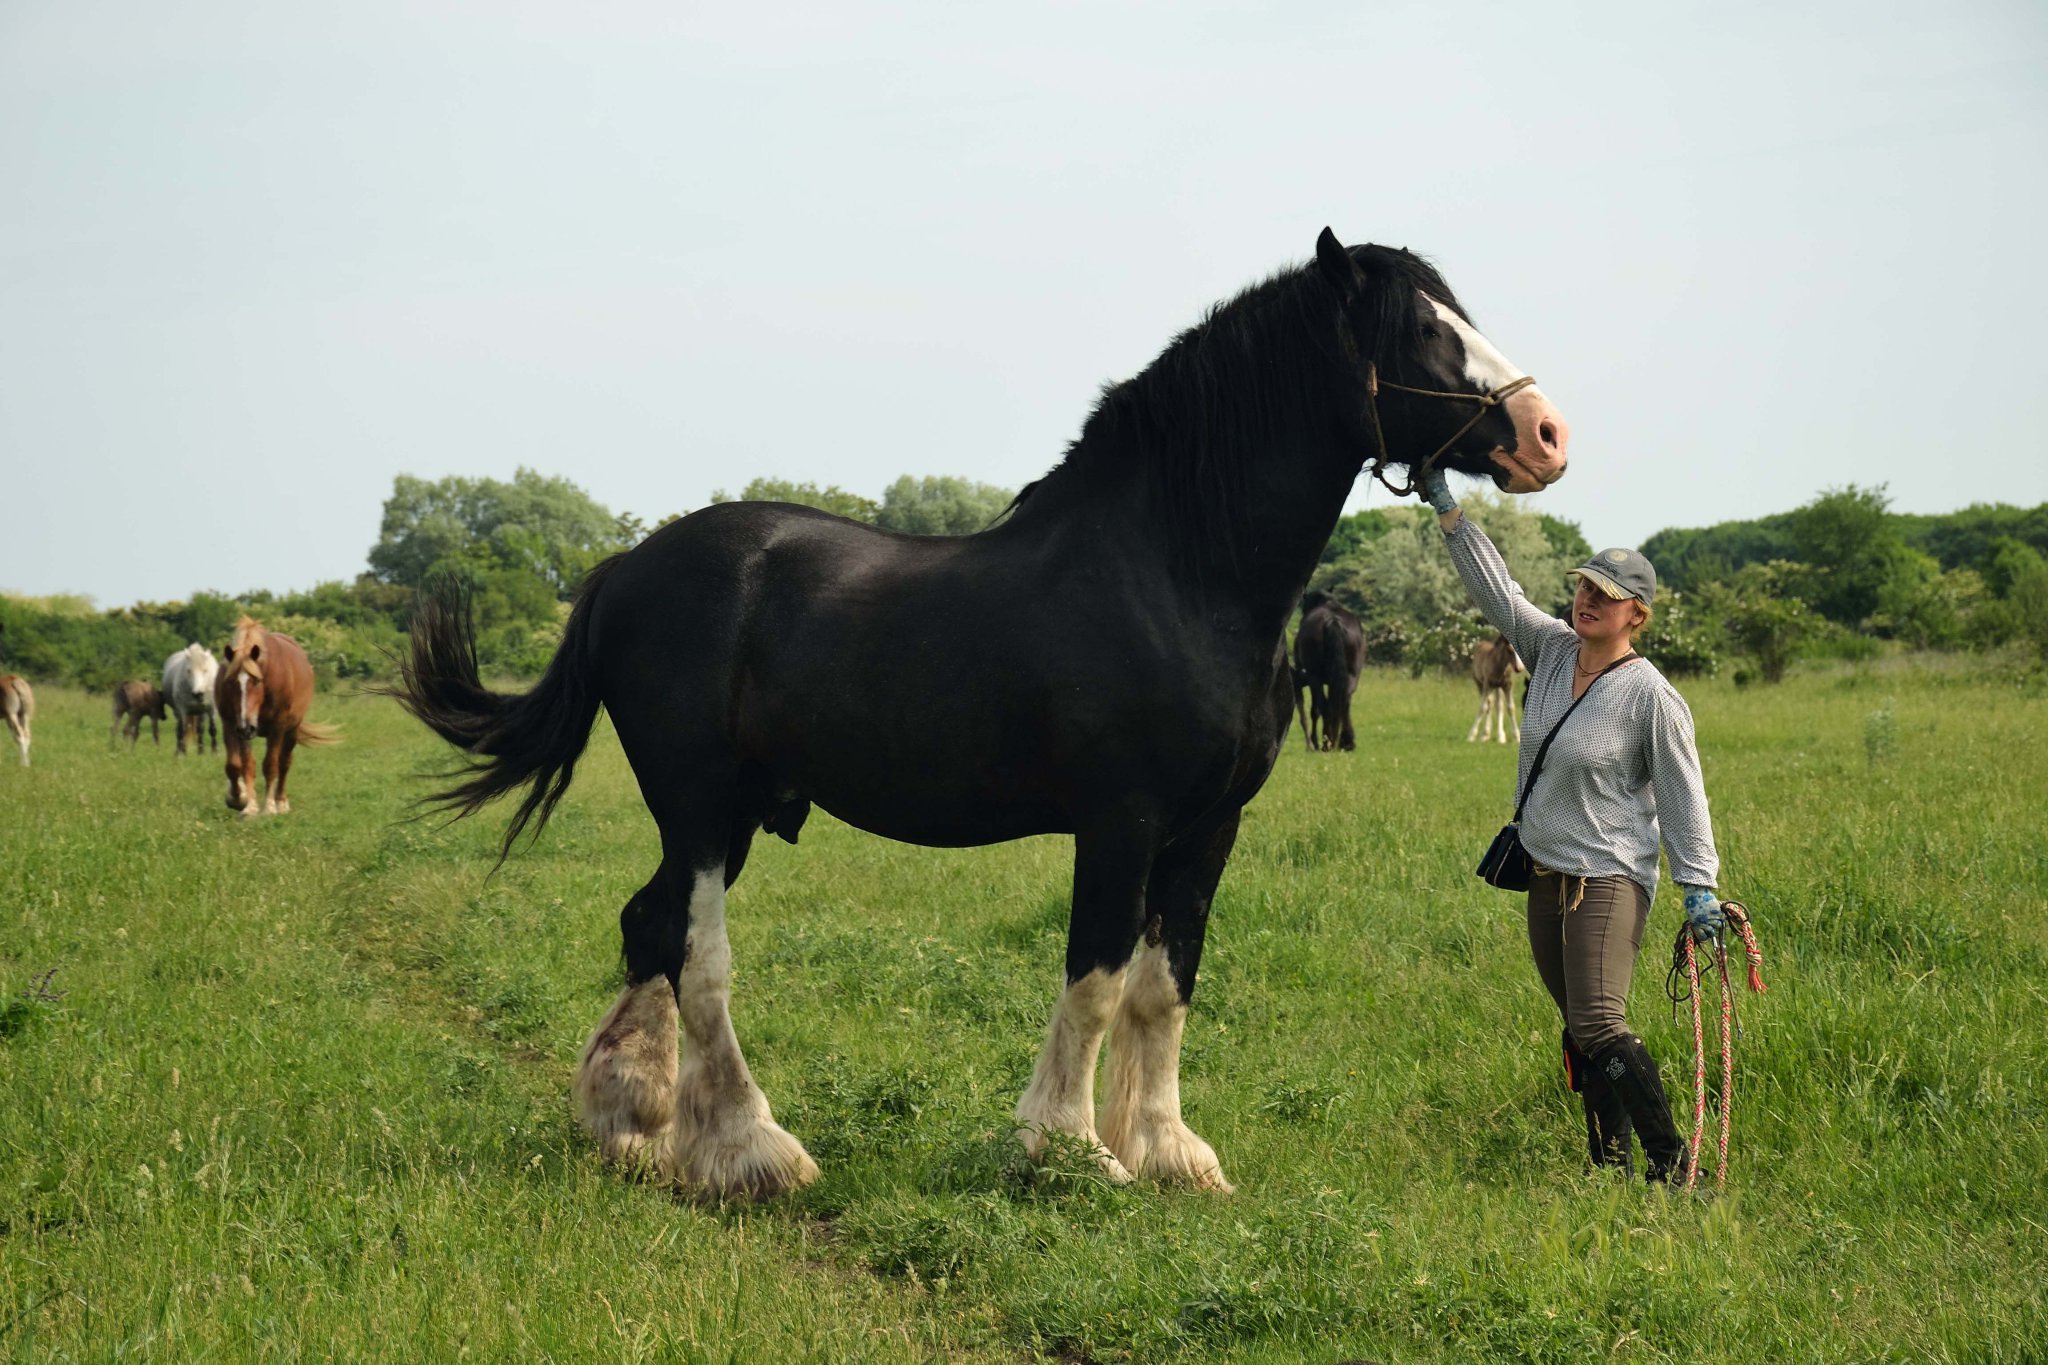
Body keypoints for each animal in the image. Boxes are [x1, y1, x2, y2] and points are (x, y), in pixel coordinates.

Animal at [214, 622, 333, 822]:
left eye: (256, 681)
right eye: (230, 681)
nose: (246, 727)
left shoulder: (276, 728)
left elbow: (270, 765)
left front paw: (268, 807)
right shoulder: (232, 725)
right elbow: (238, 766)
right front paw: (242, 801)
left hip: (291, 730)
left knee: (284, 763)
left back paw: (281, 802)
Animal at [1286, 593, 1368, 753]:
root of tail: (1333, 621)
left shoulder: (1313, 679)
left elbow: (1315, 709)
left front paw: (1315, 742)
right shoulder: (1332, 681)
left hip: (1315, 678)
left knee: (1323, 706)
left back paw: (1326, 742)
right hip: (1351, 676)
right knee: (1344, 701)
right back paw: (1345, 741)